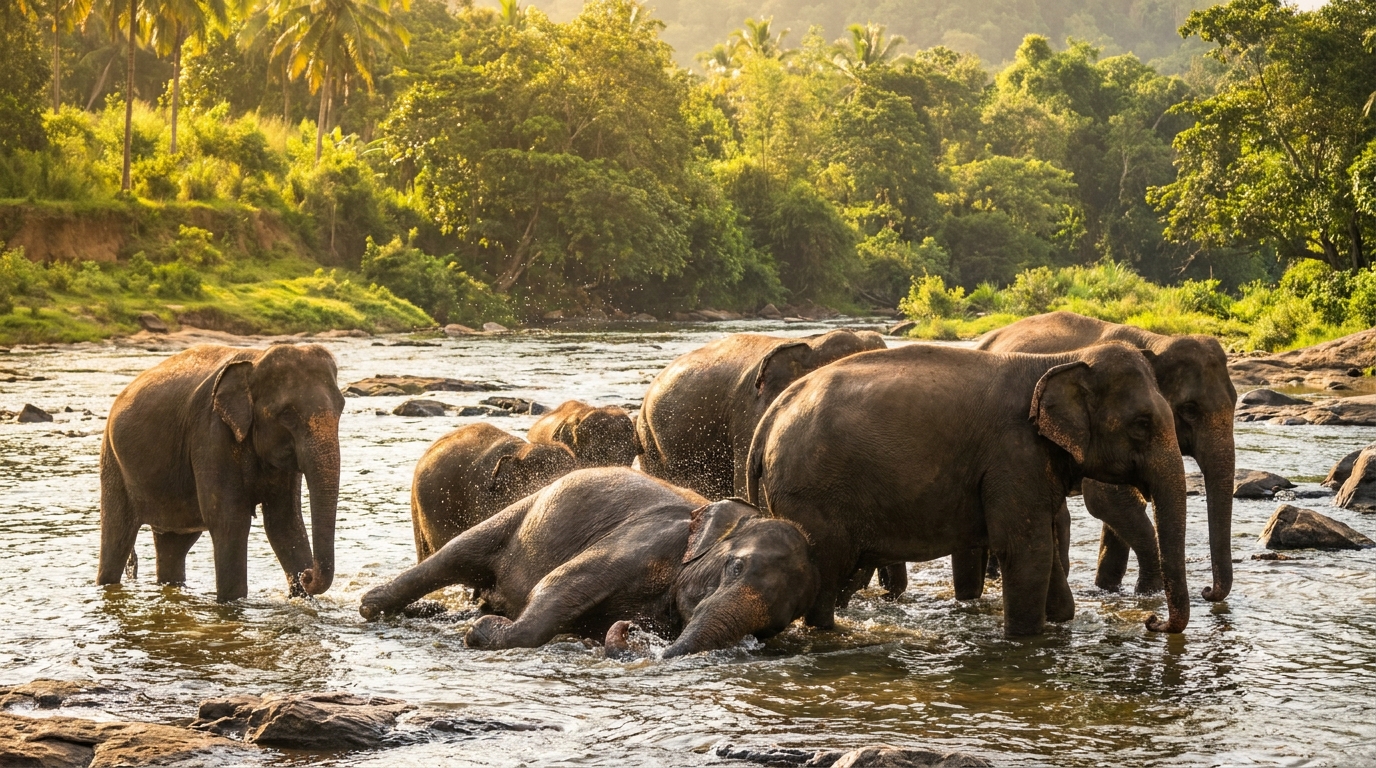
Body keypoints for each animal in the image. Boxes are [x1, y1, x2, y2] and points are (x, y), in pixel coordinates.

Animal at [97, 344, 344, 602]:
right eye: (287, 414)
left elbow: (284, 521)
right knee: (117, 539)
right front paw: (231, 604)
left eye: (342, 409)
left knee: (174, 546)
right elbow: (229, 519)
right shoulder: (211, 433)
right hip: (113, 463)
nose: (307, 575)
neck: (256, 359)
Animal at [360, 468, 819, 658]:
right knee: (457, 555)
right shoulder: (644, 541)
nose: (628, 629)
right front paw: (481, 633)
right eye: (735, 568)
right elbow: (560, 583)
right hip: (524, 509)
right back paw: (371, 605)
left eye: (772, 628)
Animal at [747, 342, 1191, 637]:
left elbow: (1044, 544)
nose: (1152, 621)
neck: (1057, 361)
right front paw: (1025, 640)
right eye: (1141, 424)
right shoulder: (1013, 454)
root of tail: (769, 417)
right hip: (813, 495)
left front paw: (1061, 617)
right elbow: (1027, 550)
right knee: (827, 573)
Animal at [978, 311, 1237, 601]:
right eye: (1190, 409)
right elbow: (1107, 500)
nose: (1206, 591)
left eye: (1236, 402)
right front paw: (1149, 593)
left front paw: (1108, 589)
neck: (1156, 341)